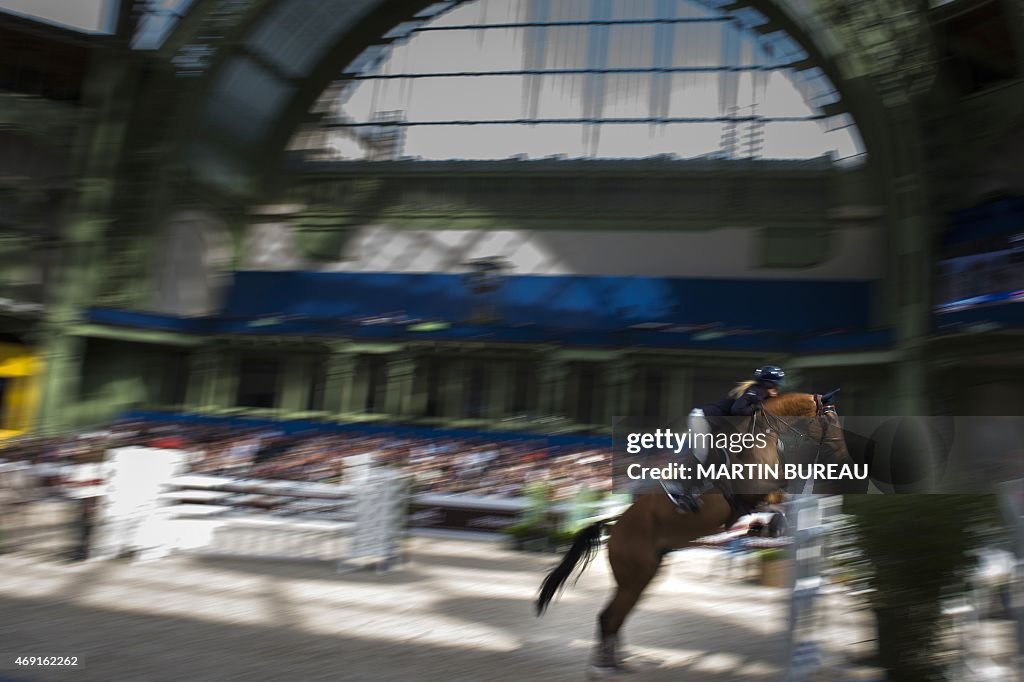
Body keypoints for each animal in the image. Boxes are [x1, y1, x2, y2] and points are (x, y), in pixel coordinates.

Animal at [536, 391, 856, 671]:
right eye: (830, 418)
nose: (844, 457)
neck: (765, 433)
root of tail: (615, 526)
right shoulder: (756, 489)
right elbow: (780, 493)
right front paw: (768, 525)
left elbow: (780, 498)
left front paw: (764, 527)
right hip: (634, 575)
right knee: (609, 617)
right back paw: (605, 666)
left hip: (643, 576)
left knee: (615, 617)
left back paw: (616, 663)